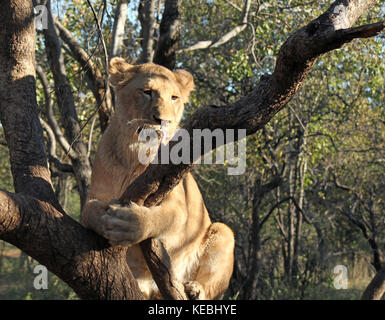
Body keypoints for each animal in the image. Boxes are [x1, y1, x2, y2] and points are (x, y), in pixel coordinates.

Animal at [81, 58, 234, 300]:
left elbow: (163, 217)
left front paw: (129, 224)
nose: (162, 120)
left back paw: (194, 289)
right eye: (147, 92)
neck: (135, 153)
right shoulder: (95, 195)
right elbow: (89, 211)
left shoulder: (179, 203)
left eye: (174, 98)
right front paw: (105, 221)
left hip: (223, 232)